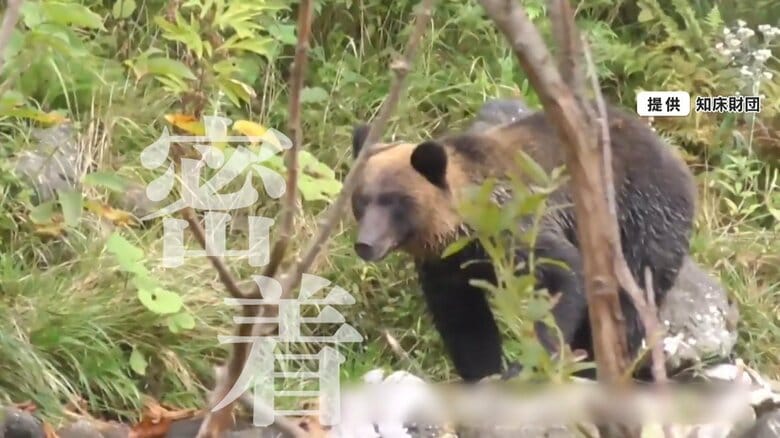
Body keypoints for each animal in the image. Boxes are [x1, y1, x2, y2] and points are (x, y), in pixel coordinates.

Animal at [348, 103, 697, 382]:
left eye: (395, 201)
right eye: (361, 200)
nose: (365, 243)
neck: (462, 229)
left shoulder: (516, 224)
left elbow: (561, 275)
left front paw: (526, 364)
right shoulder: (446, 266)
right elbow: (464, 323)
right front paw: (483, 372)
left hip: (640, 223)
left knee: (630, 300)